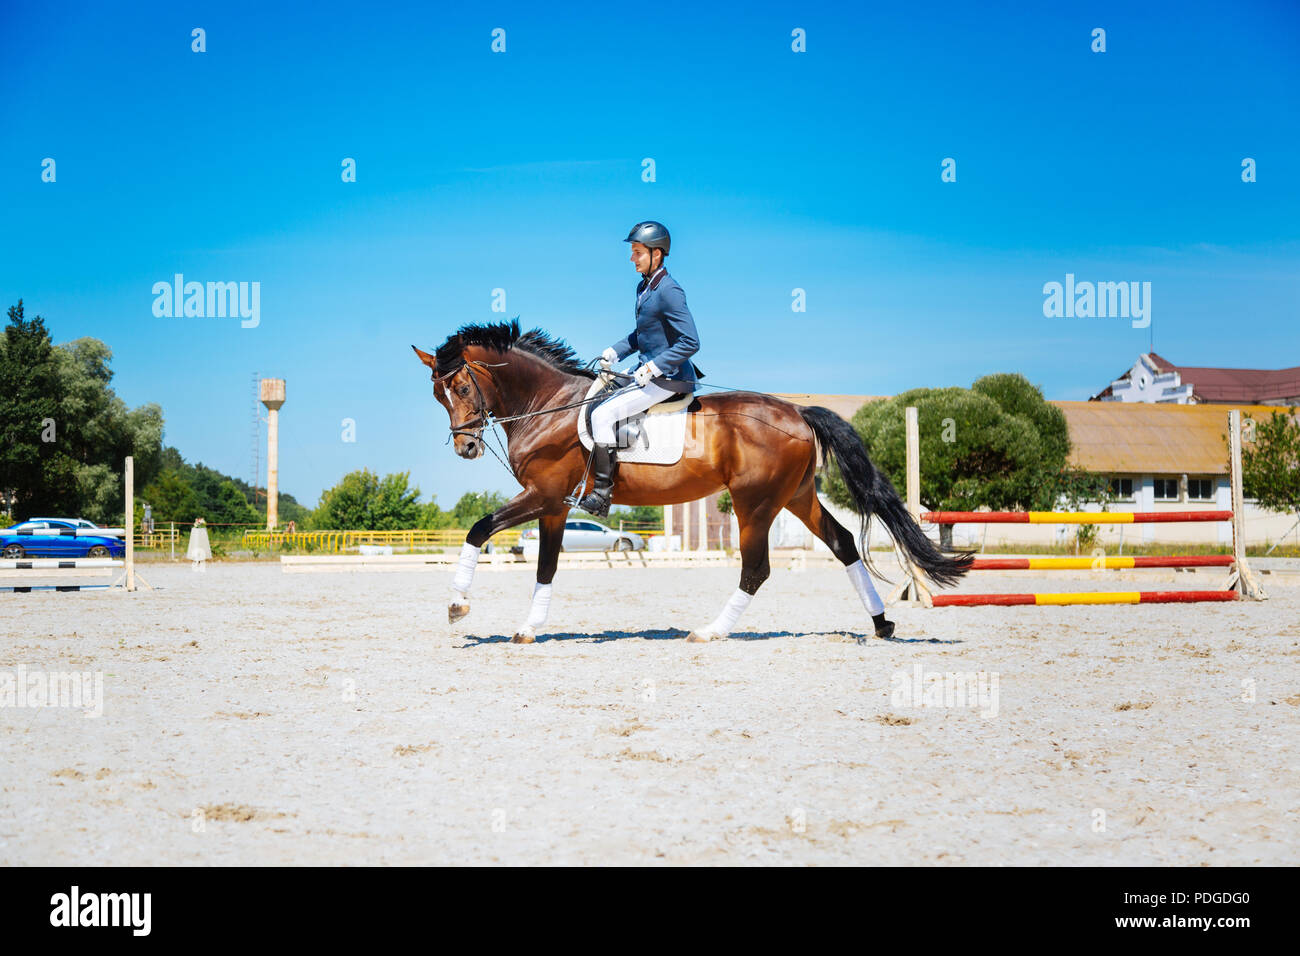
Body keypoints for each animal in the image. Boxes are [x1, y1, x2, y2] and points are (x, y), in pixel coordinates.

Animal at [412, 320, 971, 643]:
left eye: (463, 386)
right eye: (440, 396)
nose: (466, 448)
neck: (549, 407)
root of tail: (797, 412)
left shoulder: (543, 496)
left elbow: (478, 530)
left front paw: (457, 605)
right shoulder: (553, 507)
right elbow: (546, 566)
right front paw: (529, 629)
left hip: (754, 504)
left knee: (757, 568)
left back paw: (711, 632)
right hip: (795, 496)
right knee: (842, 545)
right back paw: (881, 625)